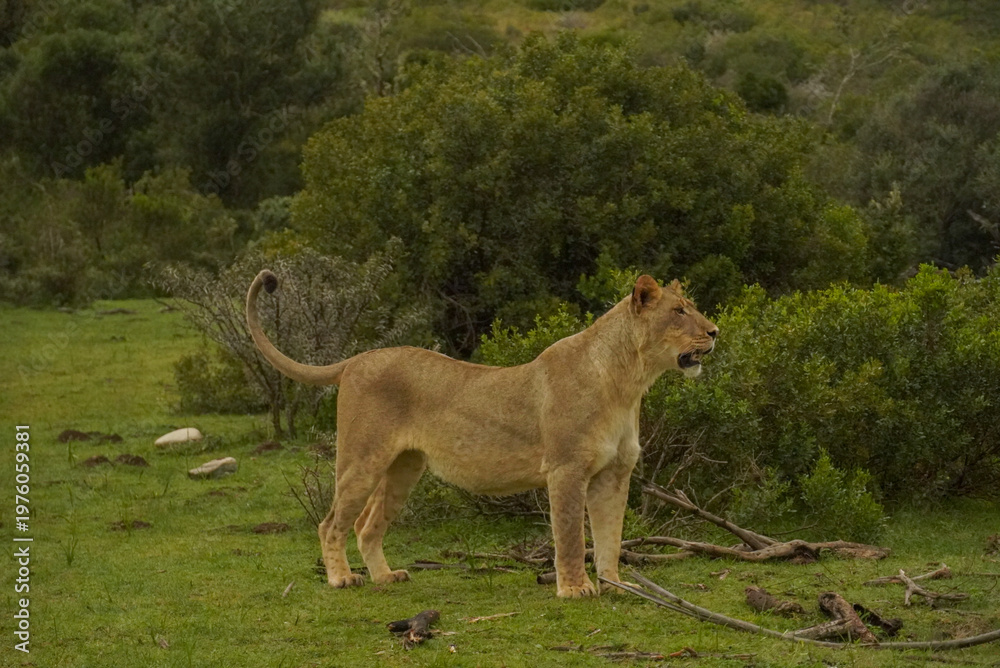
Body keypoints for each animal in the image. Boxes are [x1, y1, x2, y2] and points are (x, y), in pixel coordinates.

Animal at [246, 271, 718, 598]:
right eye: (678, 312)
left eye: (691, 306)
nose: (714, 331)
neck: (628, 383)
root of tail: (357, 359)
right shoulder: (566, 469)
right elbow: (569, 535)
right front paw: (574, 589)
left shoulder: (615, 474)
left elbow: (610, 537)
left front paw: (618, 584)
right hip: (362, 459)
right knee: (331, 523)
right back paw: (342, 579)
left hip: (404, 468)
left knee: (366, 525)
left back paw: (386, 577)